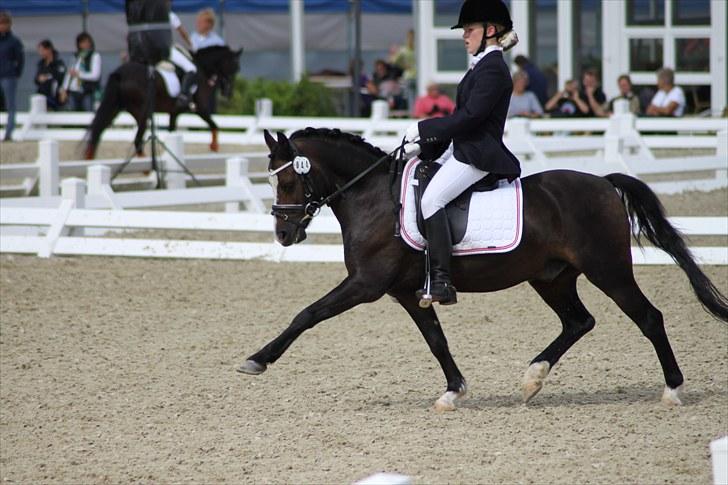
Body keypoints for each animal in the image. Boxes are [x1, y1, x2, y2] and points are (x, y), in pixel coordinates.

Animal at [83, 45, 241, 160]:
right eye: (234, 68)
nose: (228, 94)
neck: (202, 70)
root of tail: (120, 73)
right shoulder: (200, 109)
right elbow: (215, 125)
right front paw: (214, 147)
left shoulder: (174, 113)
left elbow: (172, 132)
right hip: (143, 112)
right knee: (137, 140)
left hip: (116, 108)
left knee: (98, 130)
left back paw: (88, 158)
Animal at [238, 128, 728, 411]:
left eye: (288, 179)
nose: (283, 234)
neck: (373, 196)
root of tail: (604, 183)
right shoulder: (405, 291)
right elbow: (436, 339)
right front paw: (453, 390)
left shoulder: (366, 284)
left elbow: (307, 314)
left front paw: (257, 359)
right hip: (551, 277)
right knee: (579, 321)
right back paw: (532, 380)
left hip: (608, 270)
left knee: (649, 318)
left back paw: (672, 390)